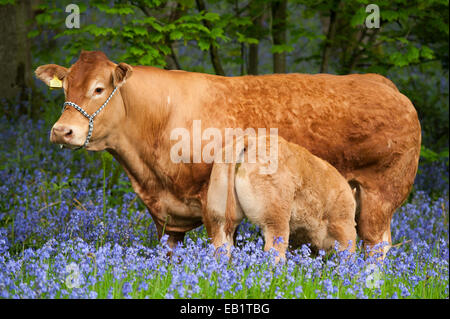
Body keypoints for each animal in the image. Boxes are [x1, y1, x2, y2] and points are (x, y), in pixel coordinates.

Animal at [206, 134, 356, 262]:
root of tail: (250, 141)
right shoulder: (344, 224)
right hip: (275, 220)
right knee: (274, 251)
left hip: (219, 216)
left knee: (221, 246)